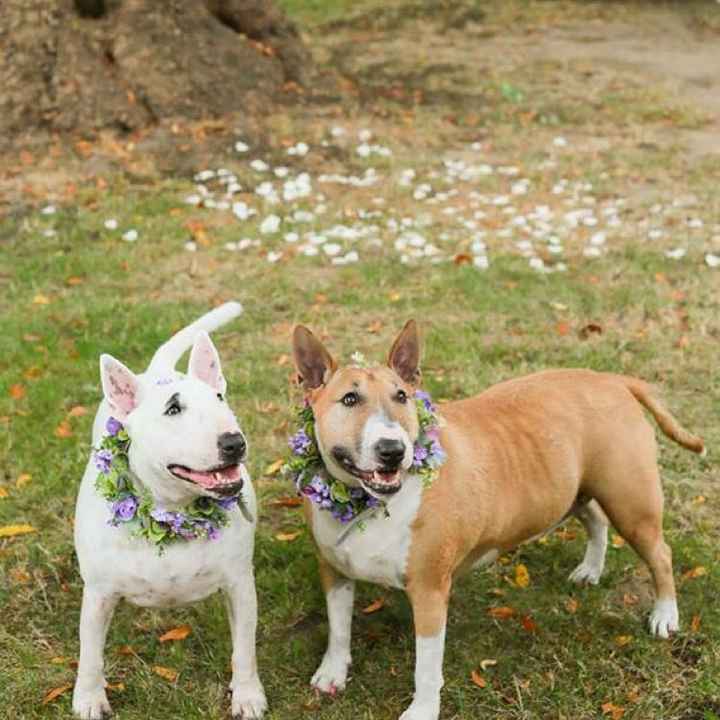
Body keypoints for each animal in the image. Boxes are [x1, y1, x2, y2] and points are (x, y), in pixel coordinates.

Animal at [72, 302, 268, 720]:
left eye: (220, 398)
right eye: (173, 409)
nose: (234, 442)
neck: (172, 513)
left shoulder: (240, 584)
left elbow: (244, 648)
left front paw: (247, 695)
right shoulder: (97, 593)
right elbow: (90, 652)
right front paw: (89, 698)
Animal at [290, 324, 700, 720]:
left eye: (402, 397)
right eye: (349, 399)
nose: (393, 450)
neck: (366, 503)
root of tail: (611, 379)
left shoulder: (429, 590)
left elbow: (427, 666)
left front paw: (422, 711)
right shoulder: (333, 571)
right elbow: (338, 628)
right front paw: (332, 672)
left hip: (631, 504)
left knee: (660, 554)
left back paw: (665, 615)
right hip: (571, 490)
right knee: (596, 519)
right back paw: (591, 569)